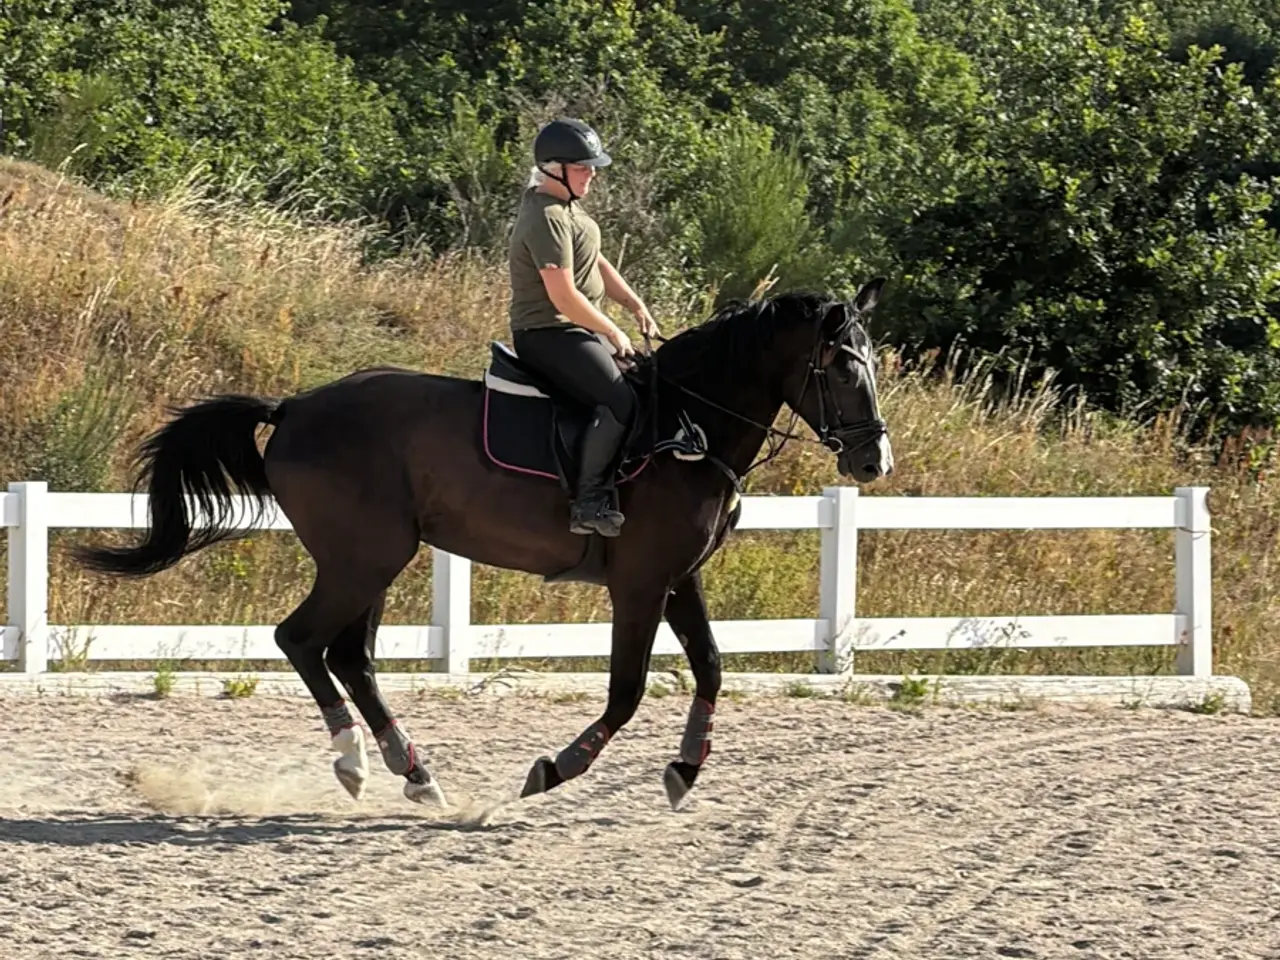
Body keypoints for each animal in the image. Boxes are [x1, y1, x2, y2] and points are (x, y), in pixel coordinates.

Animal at [72, 277, 894, 811]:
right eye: (840, 366)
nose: (873, 462)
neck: (686, 428)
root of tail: (296, 405)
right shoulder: (638, 585)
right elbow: (627, 691)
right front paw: (554, 769)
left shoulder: (677, 579)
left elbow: (713, 669)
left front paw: (684, 772)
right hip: (365, 558)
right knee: (302, 641)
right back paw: (359, 764)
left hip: (370, 563)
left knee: (348, 656)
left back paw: (411, 772)